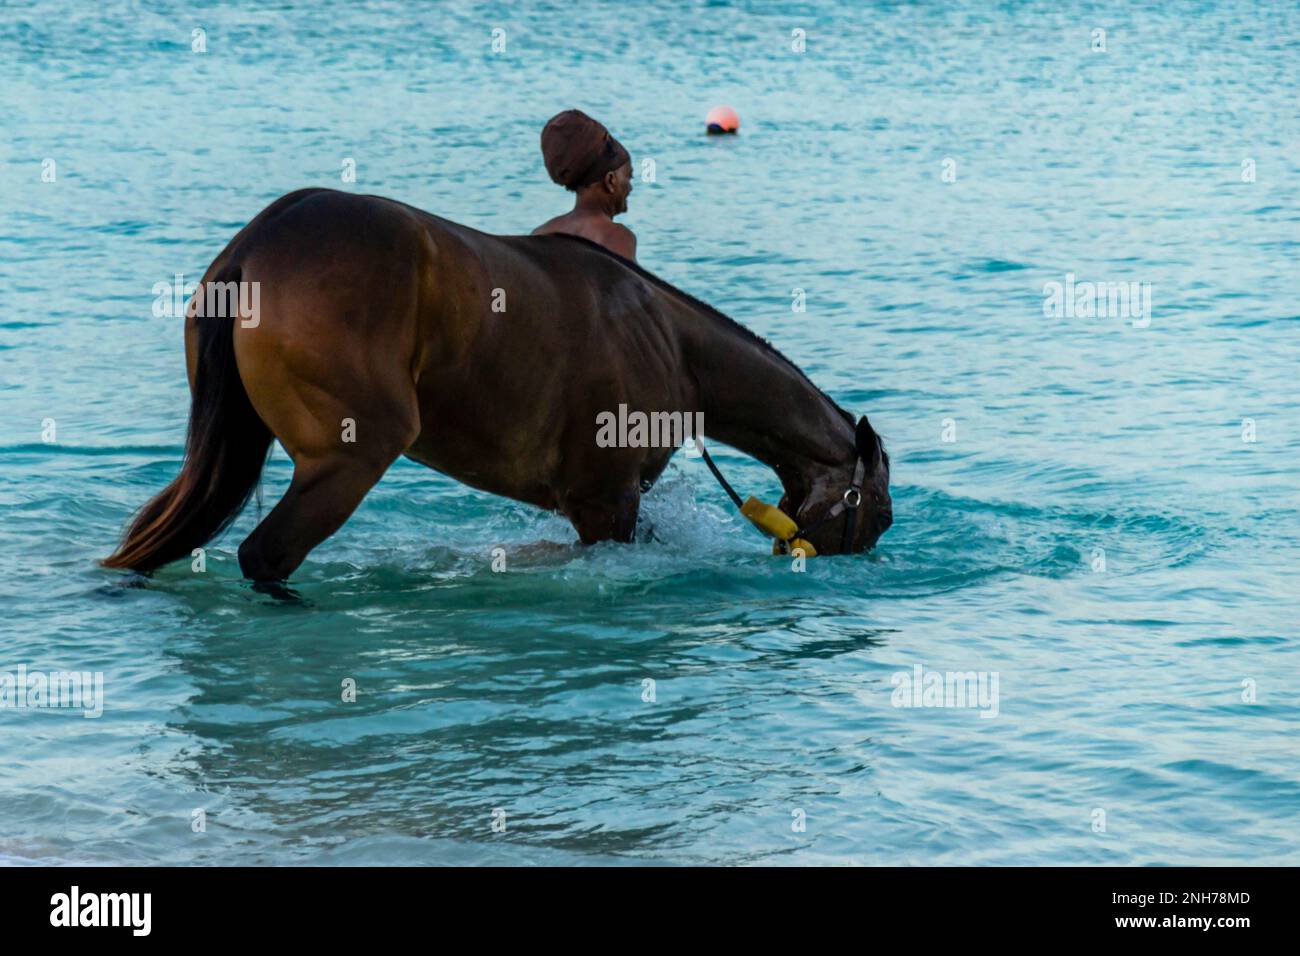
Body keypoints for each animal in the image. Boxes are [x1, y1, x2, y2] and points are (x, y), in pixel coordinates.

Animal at [104, 184, 894, 574]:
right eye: (879, 516)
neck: (675, 344)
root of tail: (256, 241)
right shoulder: (605, 503)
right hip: (347, 460)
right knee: (265, 555)